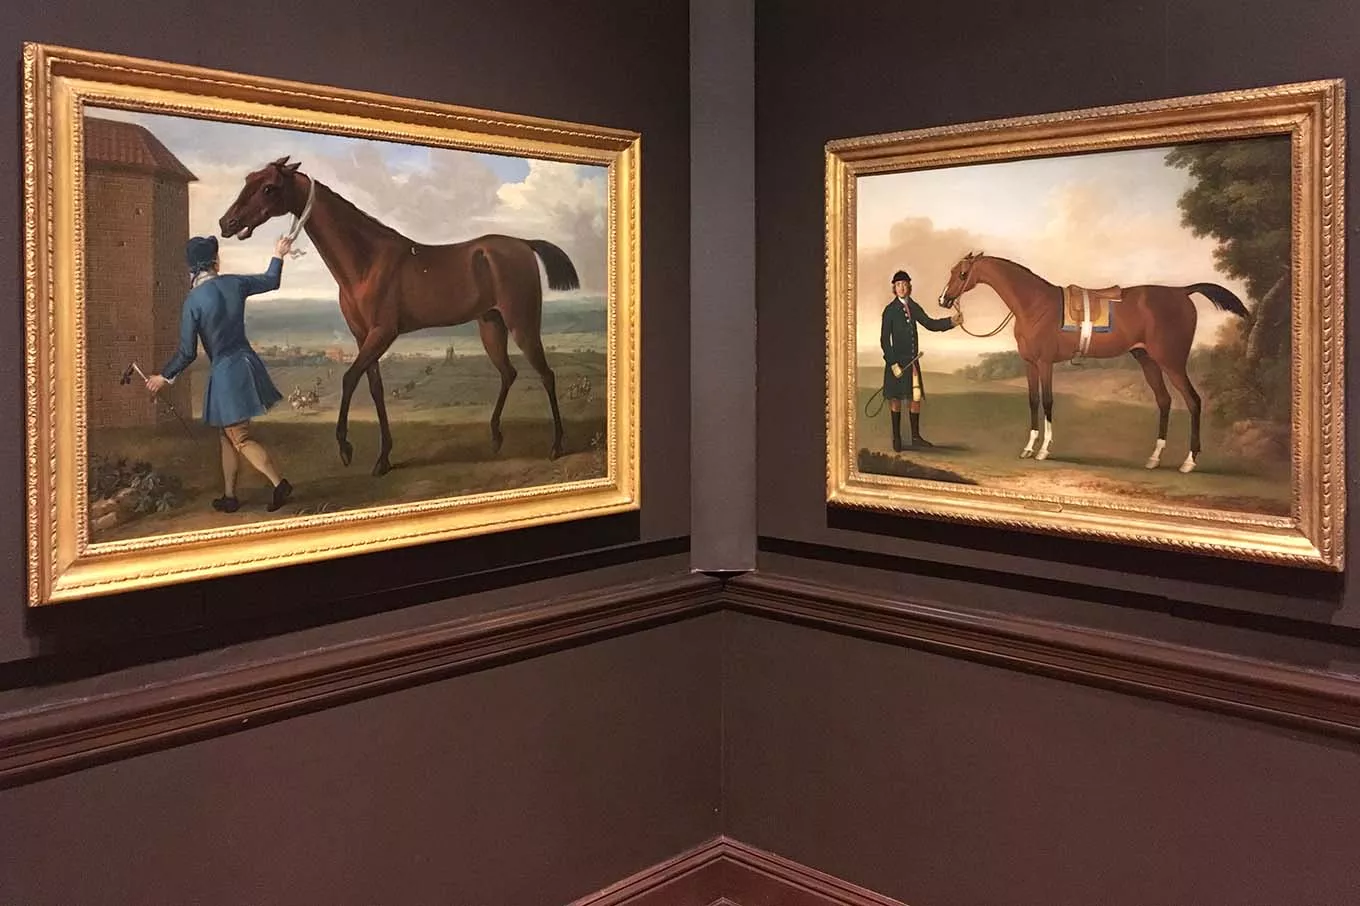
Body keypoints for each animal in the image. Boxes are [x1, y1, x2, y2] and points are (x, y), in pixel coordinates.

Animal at [218, 156, 581, 477]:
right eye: (248, 179)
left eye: (269, 188)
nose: (226, 223)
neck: (367, 261)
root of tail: (523, 244)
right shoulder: (363, 337)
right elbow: (374, 388)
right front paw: (383, 458)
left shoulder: (383, 332)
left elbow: (349, 378)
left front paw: (346, 449)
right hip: (491, 326)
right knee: (508, 373)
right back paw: (495, 437)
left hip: (522, 323)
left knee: (546, 375)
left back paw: (556, 445)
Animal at [936, 252, 1250, 474]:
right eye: (950, 271)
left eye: (962, 273)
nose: (943, 300)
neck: (1036, 305)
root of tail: (1181, 291)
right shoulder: (1029, 364)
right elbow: (1033, 401)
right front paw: (1028, 448)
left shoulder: (1046, 363)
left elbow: (1048, 401)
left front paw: (1044, 450)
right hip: (1147, 360)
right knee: (1164, 401)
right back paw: (1154, 458)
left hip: (1171, 362)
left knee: (1194, 401)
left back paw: (1189, 462)